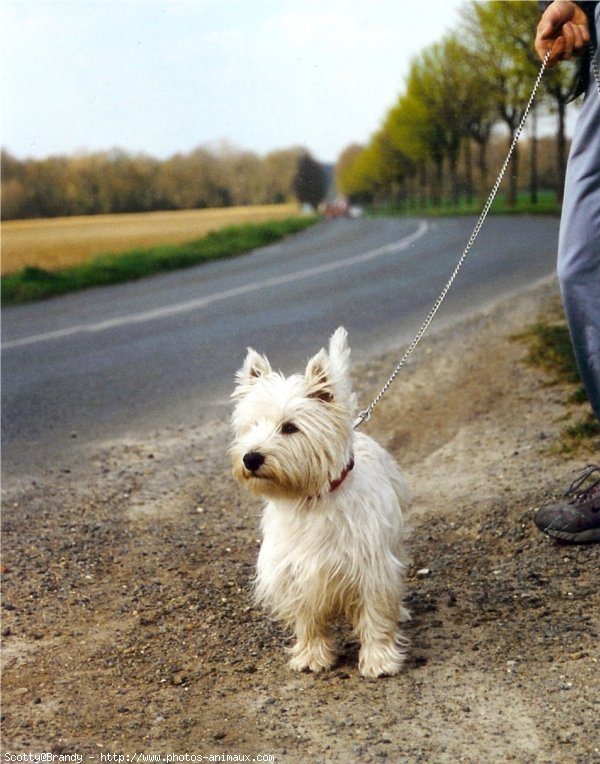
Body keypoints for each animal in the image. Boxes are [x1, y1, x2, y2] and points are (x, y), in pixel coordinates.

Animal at [230, 326, 408, 676]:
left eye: (290, 427)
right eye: (251, 426)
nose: (250, 458)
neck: (309, 500)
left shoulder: (371, 568)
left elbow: (376, 614)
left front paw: (379, 659)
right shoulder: (296, 571)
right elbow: (307, 618)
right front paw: (312, 656)